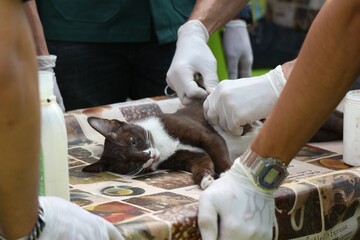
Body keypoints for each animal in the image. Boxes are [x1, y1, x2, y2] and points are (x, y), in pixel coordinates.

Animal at [82, 99, 256, 189]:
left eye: (133, 141)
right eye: (130, 164)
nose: (149, 155)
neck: (161, 144)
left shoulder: (207, 136)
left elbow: (218, 154)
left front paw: (227, 174)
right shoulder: (187, 157)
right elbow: (202, 163)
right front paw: (205, 179)